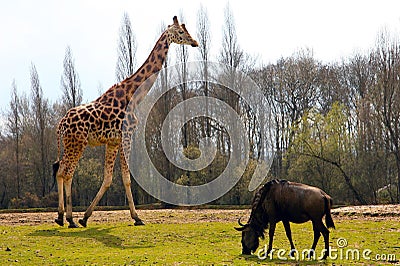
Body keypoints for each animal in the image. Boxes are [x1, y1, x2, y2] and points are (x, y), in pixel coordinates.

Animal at [51, 16, 198, 229]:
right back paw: (68, 218)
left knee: (61, 171)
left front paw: (85, 217)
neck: (133, 95)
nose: (195, 42)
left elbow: (108, 178)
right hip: (77, 143)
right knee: (67, 172)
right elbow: (127, 178)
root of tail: (61, 124)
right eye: (180, 32)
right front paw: (137, 217)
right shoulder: (127, 134)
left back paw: (62, 217)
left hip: (71, 143)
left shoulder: (112, 141)